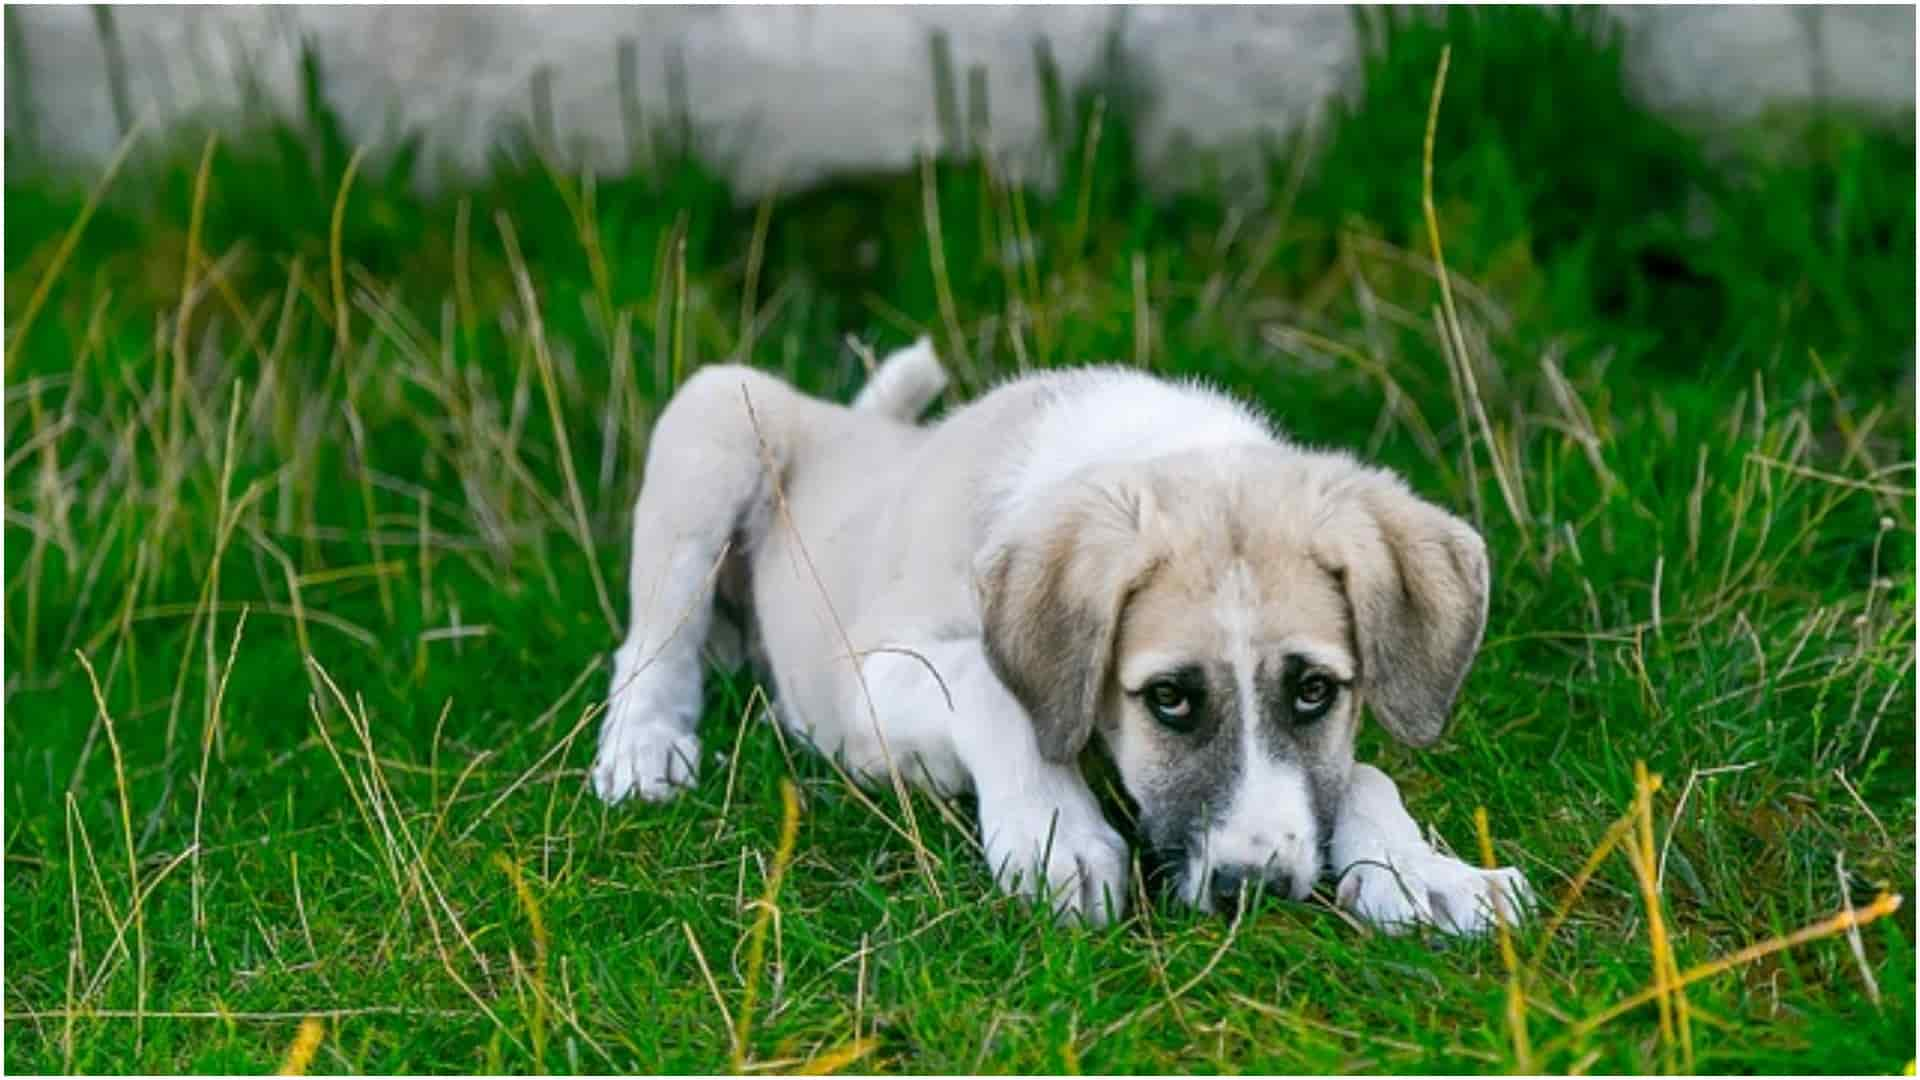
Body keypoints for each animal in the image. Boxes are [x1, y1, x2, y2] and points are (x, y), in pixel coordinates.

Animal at [591, 340, 1536, 930]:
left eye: (1314, 691)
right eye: (1169, 699)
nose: (1255, 890)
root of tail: (852, 423)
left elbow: (1364, 774)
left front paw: (1425, 872)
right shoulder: (872, 679)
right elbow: (989, 686)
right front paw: (1056, 835)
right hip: (717, 415)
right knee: (650, 640)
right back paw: (644, 747)